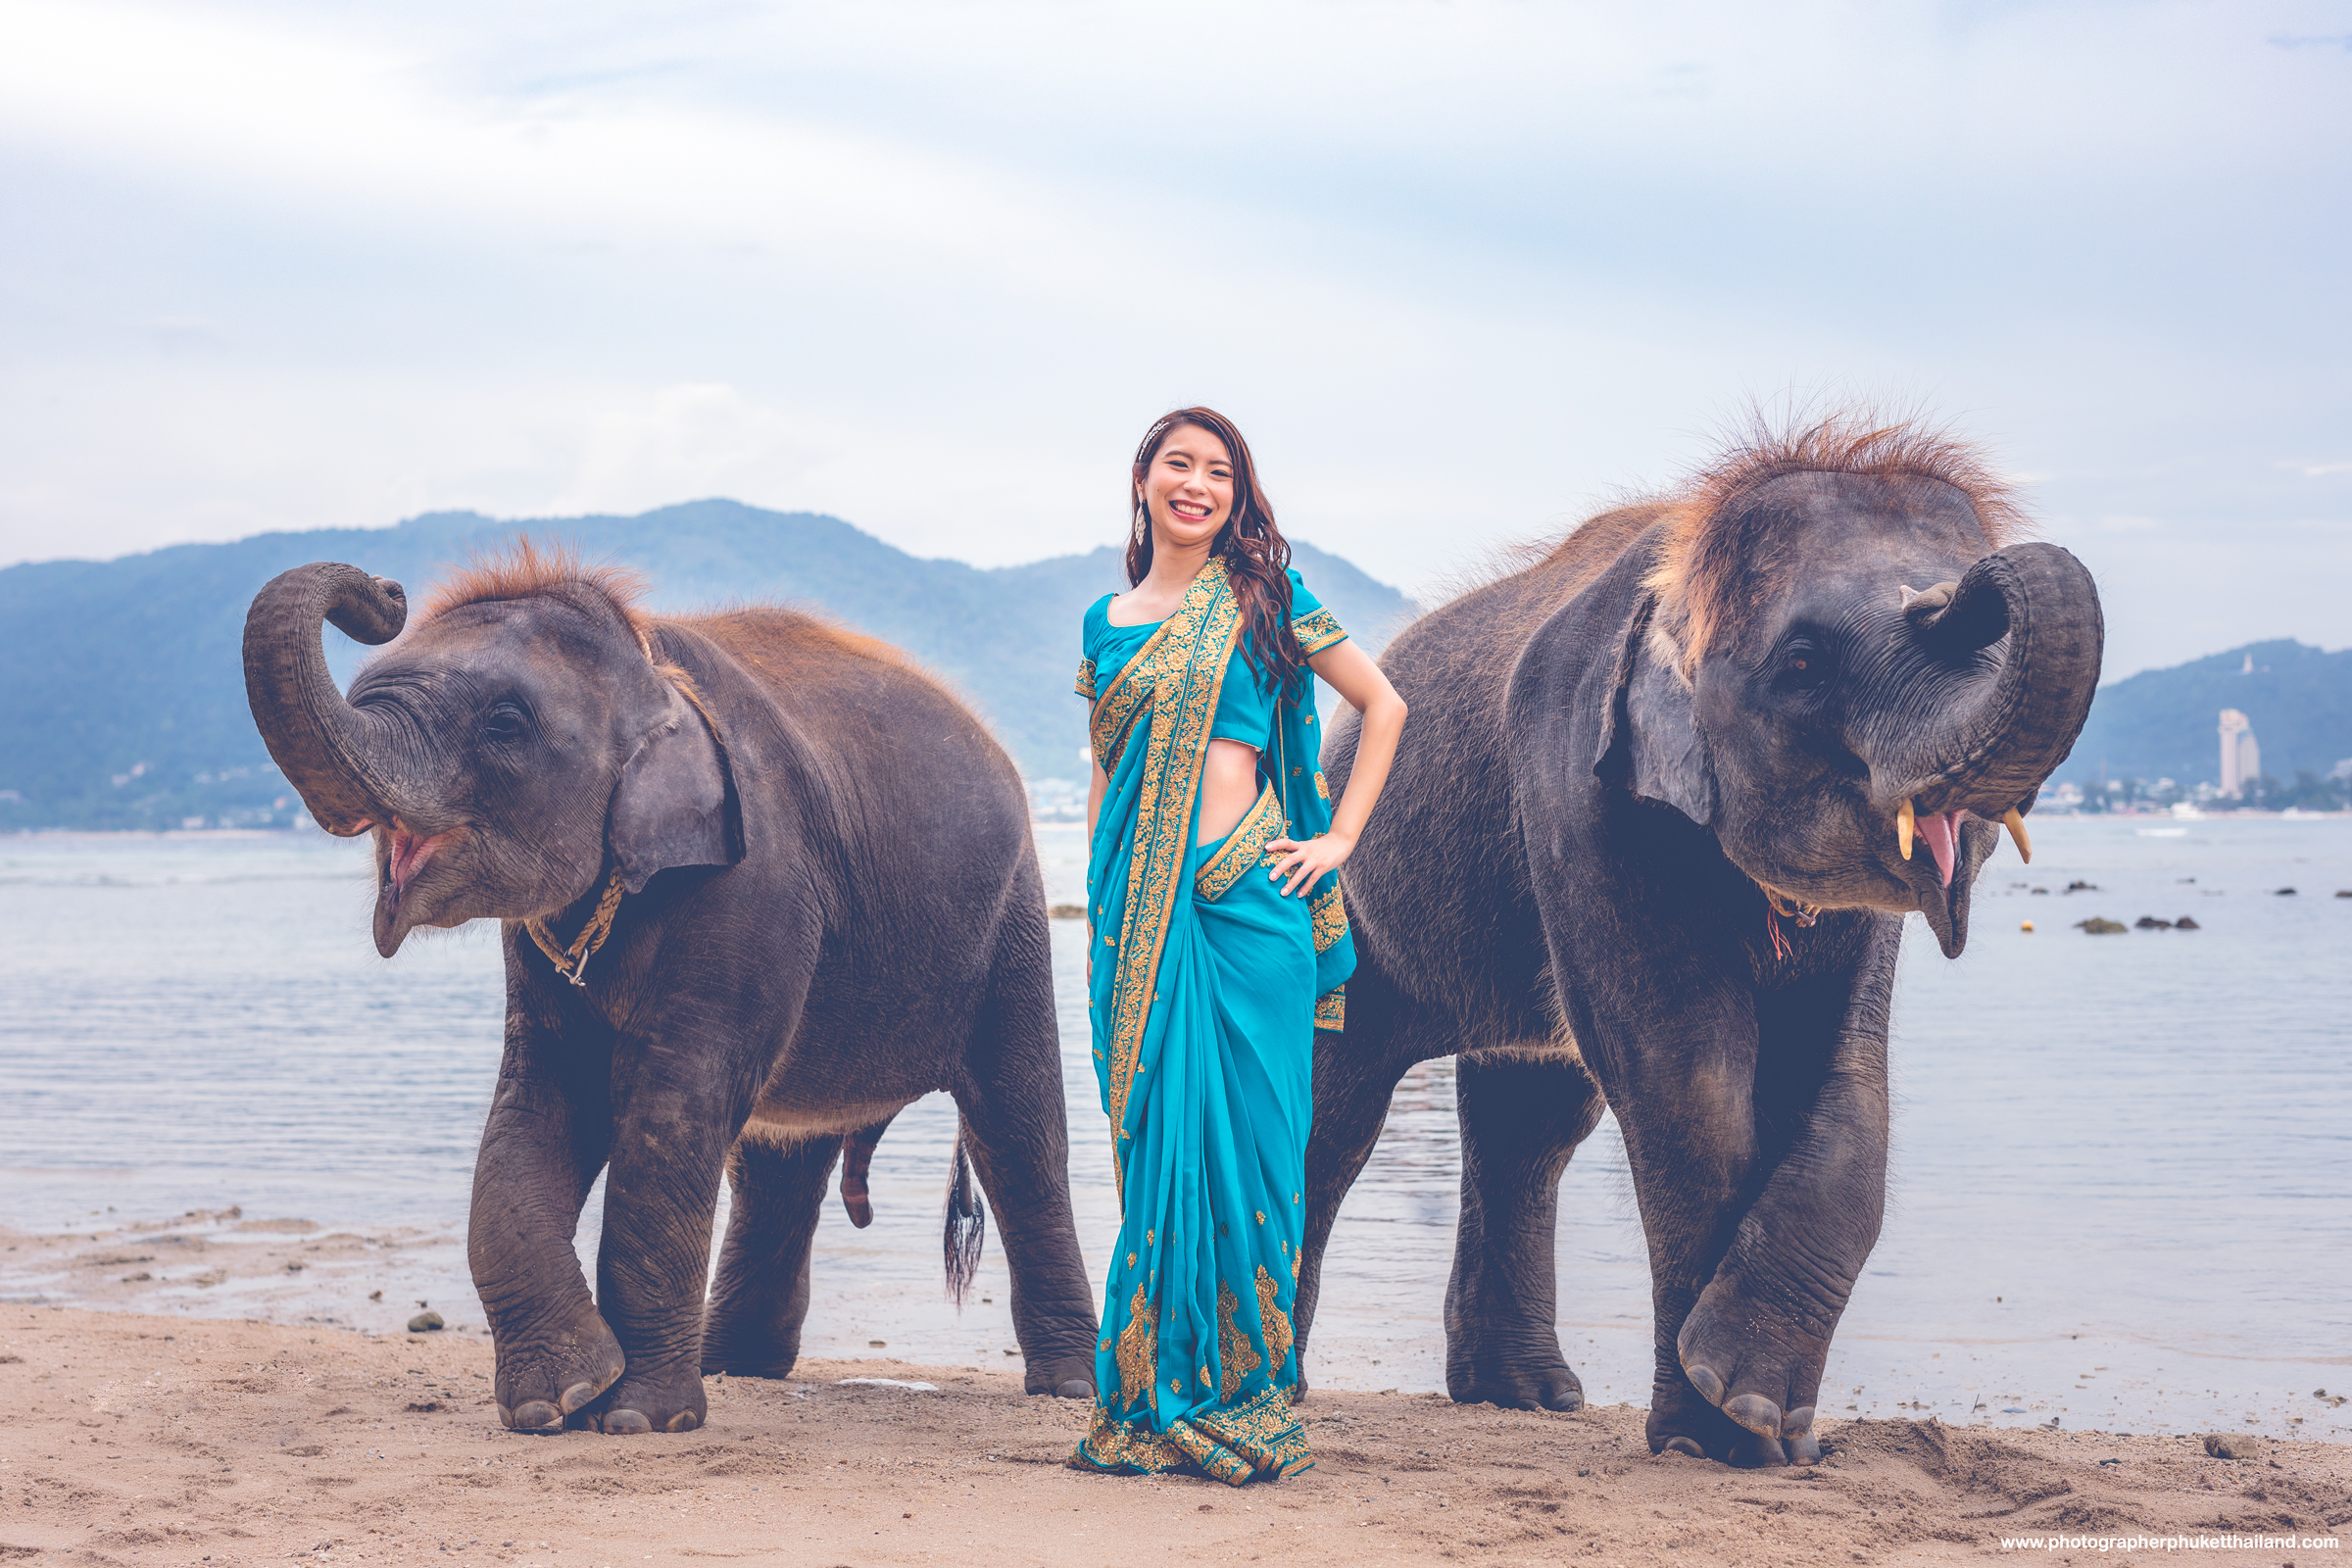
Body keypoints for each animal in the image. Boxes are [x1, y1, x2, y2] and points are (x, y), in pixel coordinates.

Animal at [242, 545, 1099, 1434]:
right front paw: (558, 1401)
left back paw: (1070, 1386)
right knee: (779, 1168)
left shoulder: (757, 877)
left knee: (1018, 1131)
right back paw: (737, 1367)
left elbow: (672, 1103)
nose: (385, 592)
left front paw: (634, 1418)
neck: (652, 664)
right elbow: (540, 1100)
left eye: (504, 723)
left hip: (1012, 920)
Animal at [1299, 417, 2103, 1467]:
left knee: (1533, 1121)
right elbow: (1688, 1070)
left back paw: (1529, 1398)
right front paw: (1722, 1433)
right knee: (1338, 1110)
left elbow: (1844, 1078)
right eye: (1802, 662)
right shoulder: (1575, 781)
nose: (1955, 595)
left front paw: (1772, 1428)